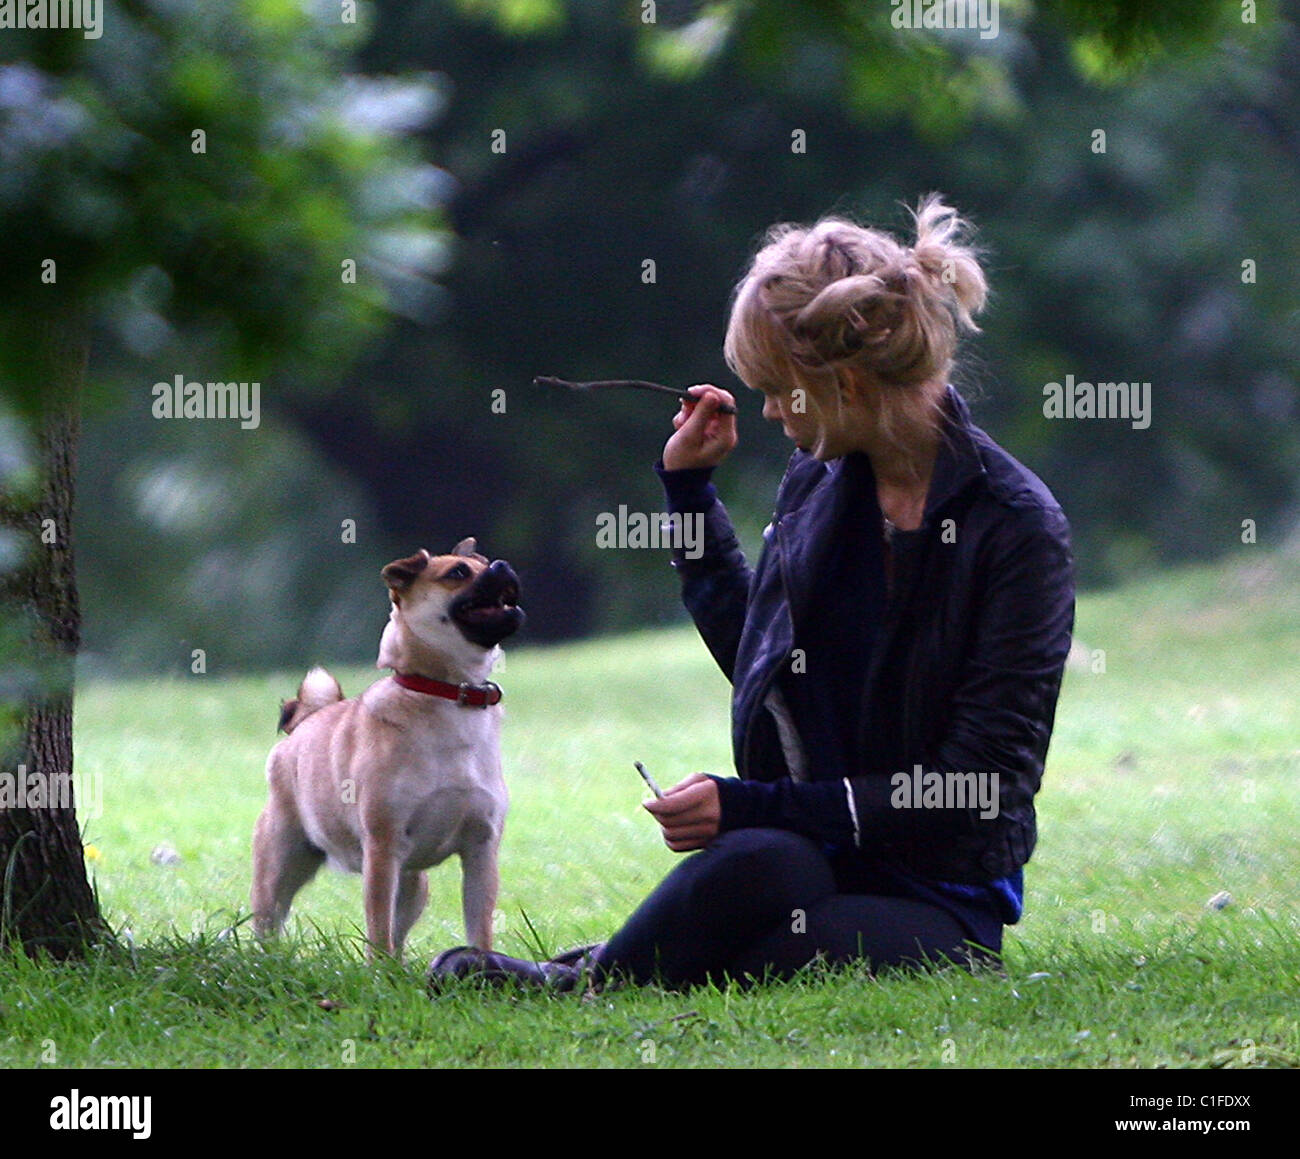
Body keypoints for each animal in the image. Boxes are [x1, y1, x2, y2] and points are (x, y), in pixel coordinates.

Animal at [249, 537, 522, 956]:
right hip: (279, 869)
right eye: (458, 573)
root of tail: (307, 720)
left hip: (413, 884)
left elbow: (479, 926)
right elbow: (377, 928)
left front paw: (481, 963)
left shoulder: (481, 851)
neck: (450, 693)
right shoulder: (383, 848)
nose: (504, 565)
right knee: (271, 922)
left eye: (486, 562)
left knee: (399, 932)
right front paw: (377, 969)